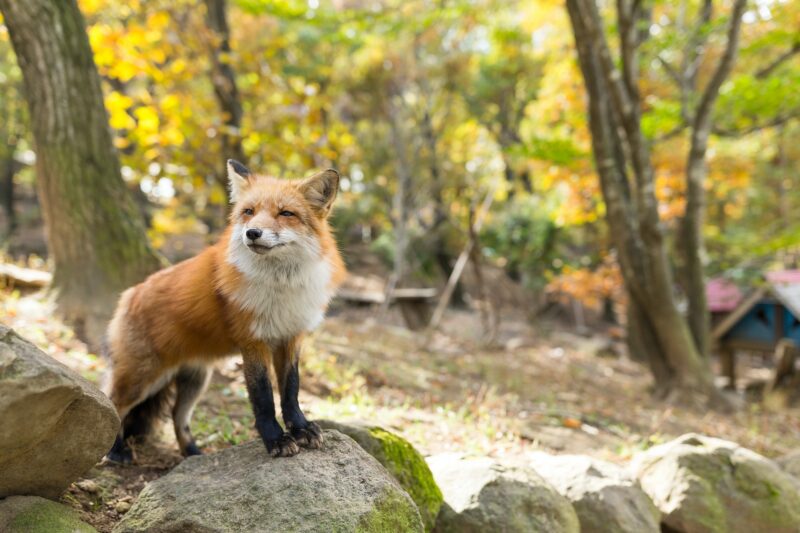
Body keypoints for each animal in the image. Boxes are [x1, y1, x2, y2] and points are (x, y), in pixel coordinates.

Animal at [103, 159, 344, 462]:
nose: (252, 233)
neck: (280, 287)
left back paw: (193, 453)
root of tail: (128, 295)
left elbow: (291, 389)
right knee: (113, 402)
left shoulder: (291, 336)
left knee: (177, 416)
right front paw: (275, 439)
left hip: (196, 380)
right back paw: (115, 451)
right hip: (143, 375)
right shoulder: (253, 341)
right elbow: (263, 396)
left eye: (286, 213)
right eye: (249, 212)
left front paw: (301, 428)